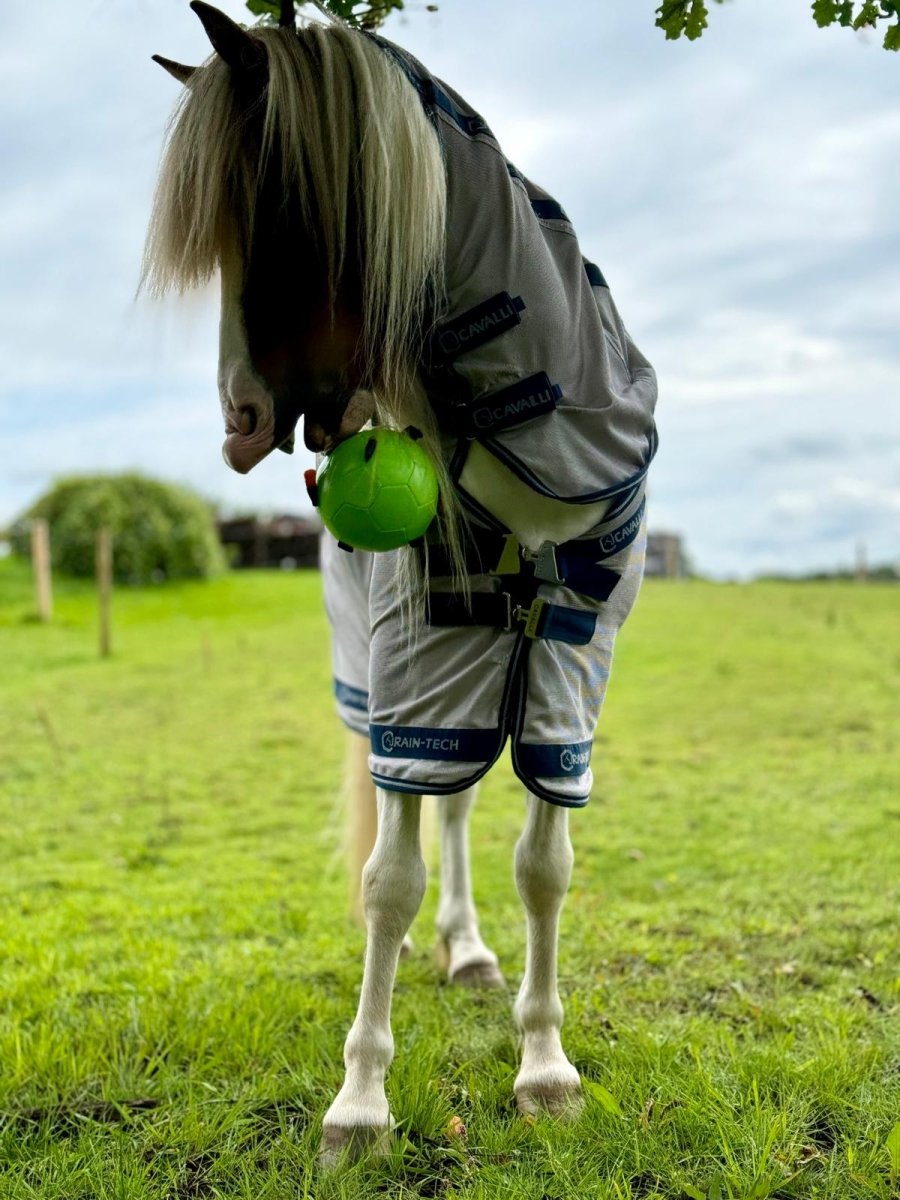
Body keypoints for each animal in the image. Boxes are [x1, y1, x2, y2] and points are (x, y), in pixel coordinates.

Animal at [144, 0, 657, 1161]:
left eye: (282, 209)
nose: (241, 422)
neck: (529, 441)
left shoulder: (566, 683)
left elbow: (544, 867)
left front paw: (545, 1069)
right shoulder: (419, 677)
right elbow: (389, 881)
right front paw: (361, 1103)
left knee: (460, 810)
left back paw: (470, 950)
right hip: (402, 680)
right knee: (426, 816)